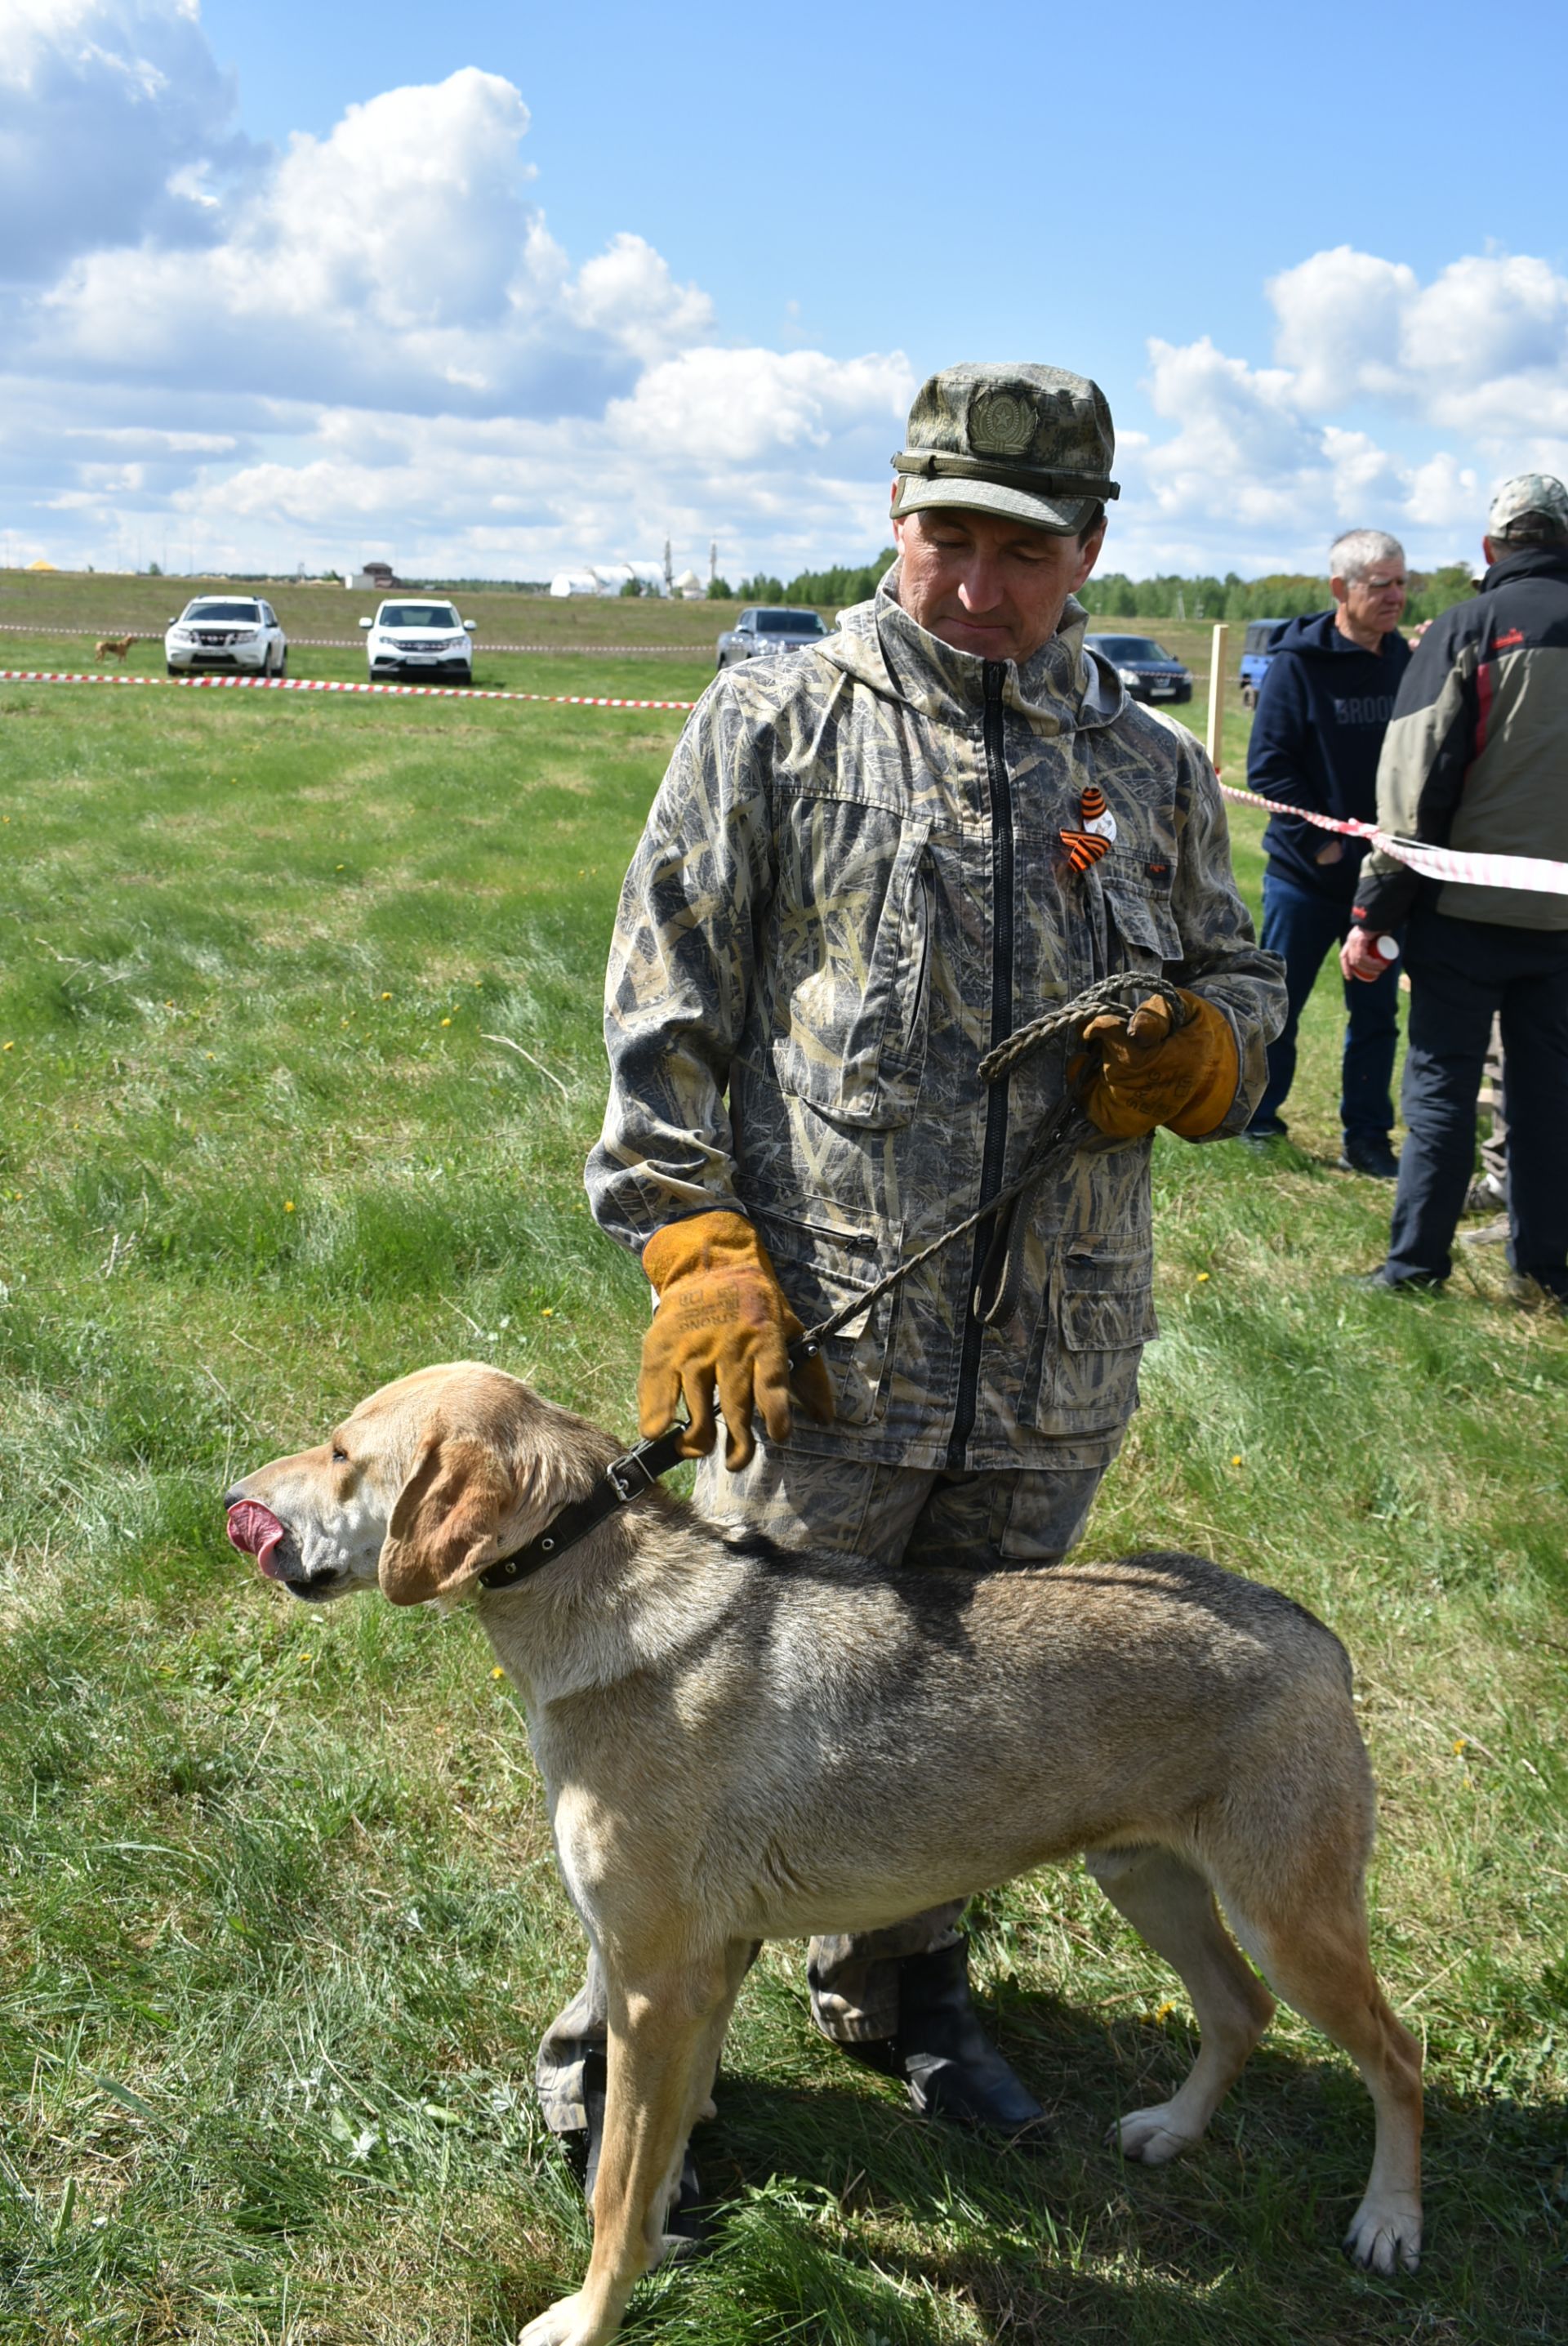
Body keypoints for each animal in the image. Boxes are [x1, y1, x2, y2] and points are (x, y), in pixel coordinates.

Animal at [225, 1370, 1424, 2336]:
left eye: (341, 1453)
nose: (233, 1495)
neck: (596, 1608)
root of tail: (1313, 1630)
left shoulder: (652, 1984)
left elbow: (614, 2190)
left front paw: (590, 2319)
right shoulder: (702, 1976)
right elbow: (659, 2159)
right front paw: (660, 2249)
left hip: (1288, 1922)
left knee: (1396, 2055)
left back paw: (1390, 2222)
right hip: (1149, 1883)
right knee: (1239, 2012)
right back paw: (1173, 2132)